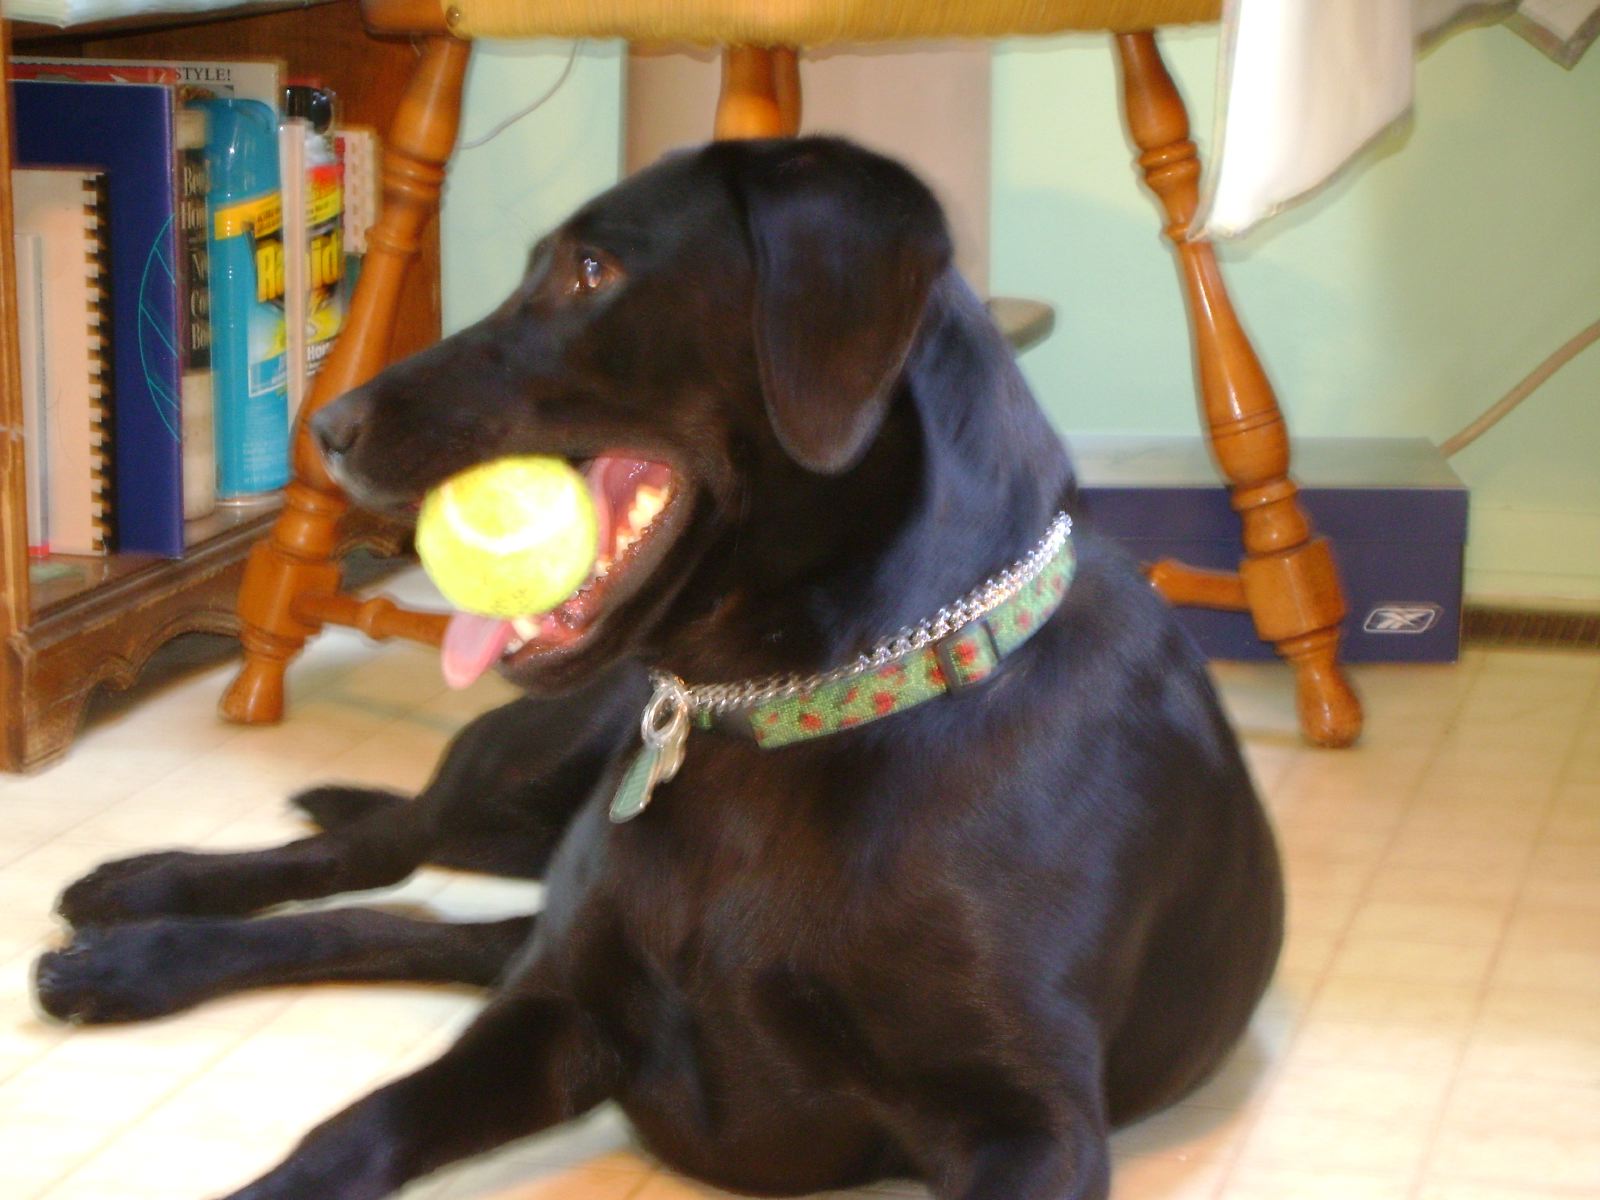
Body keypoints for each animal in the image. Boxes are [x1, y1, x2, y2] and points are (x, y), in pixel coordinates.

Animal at [34, 137, 1282, 1200]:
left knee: (416, 919)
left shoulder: (1029, 1121)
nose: (325, 428)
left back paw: (121, 960)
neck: (806, 713)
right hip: (534, 773)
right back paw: (133, 909)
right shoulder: (562, 1012)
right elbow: (357, 1124)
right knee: (380, 850)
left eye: (591, 271)